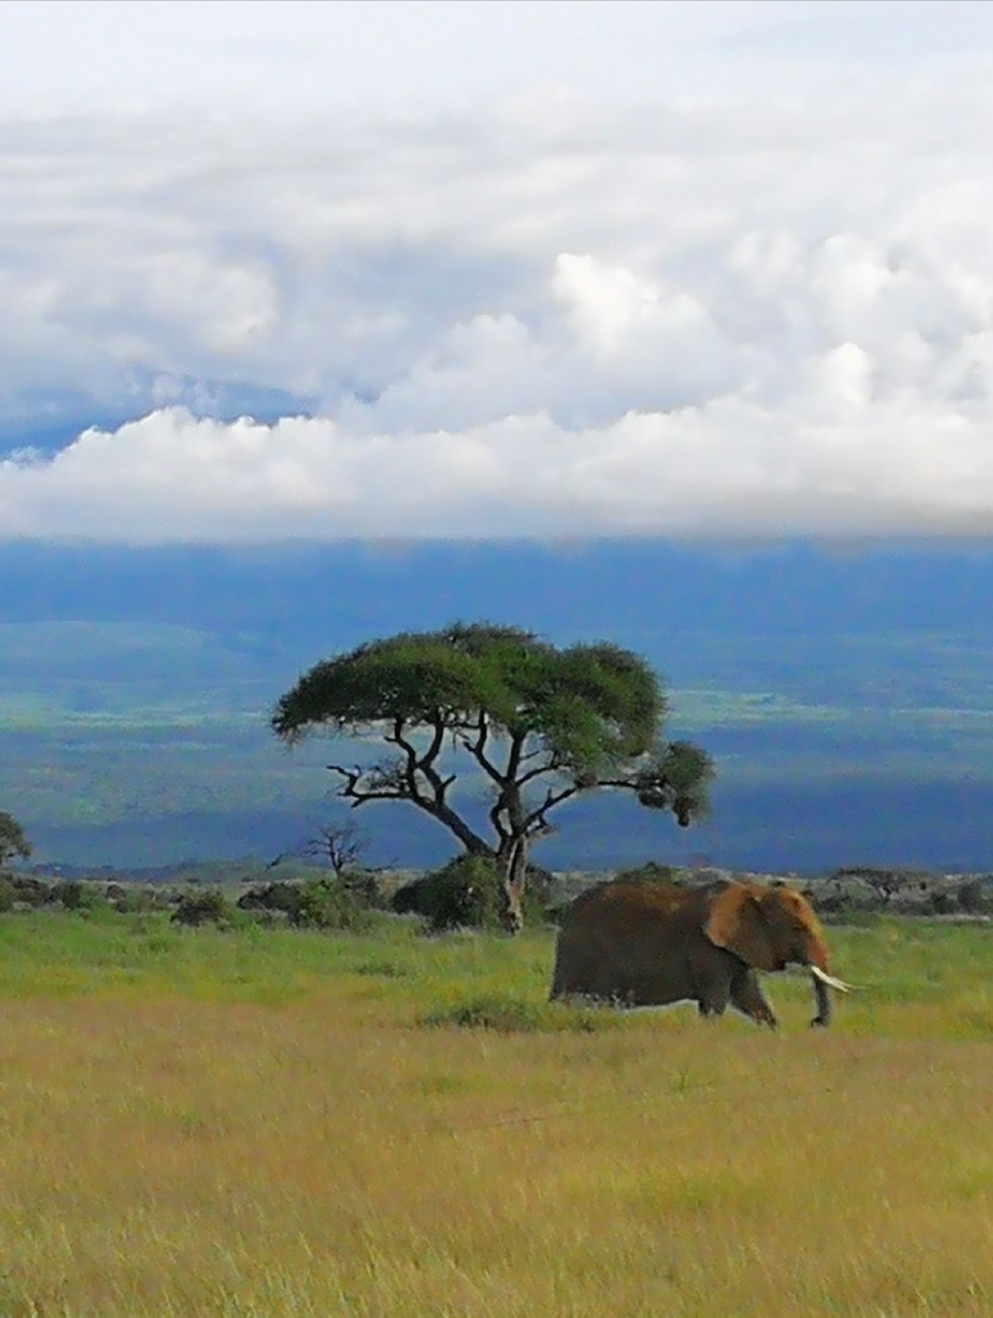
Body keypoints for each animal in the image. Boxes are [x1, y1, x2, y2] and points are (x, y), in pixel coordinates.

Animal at [545, 875, 849, 1028]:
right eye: (797, 928)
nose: (814, 1022)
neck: (755, 892)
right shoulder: (707, 948)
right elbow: (717, 1003)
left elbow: (749, 997)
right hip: (579, 951)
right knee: (568, 998)